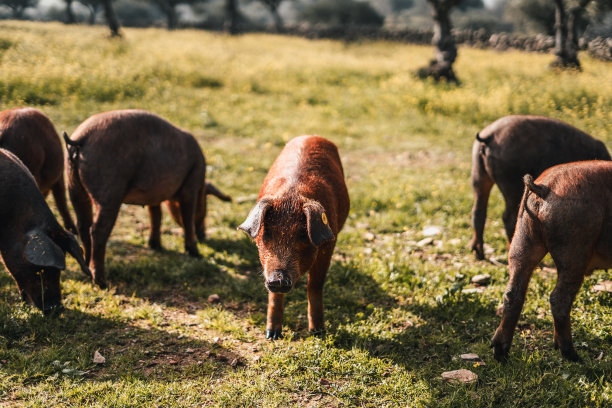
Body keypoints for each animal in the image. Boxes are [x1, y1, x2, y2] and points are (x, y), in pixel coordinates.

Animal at [64, 108, 232, 286]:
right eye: (205, 205)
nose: (204, 236)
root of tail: (82, 138)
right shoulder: (191, 186)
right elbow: (187, 218)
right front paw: (195, 253)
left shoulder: (154, 194)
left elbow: (156, 215)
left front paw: (155, 246)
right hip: (108, 190)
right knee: (97, 230)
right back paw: (101, 282)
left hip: (74, 186)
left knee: (82, 225)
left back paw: (87, 271)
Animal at [241, 135, 352, 340]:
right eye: (266, 234)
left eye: (303, 235)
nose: (278, 278)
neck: (291, 196)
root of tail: (311, 135)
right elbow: (274, 296)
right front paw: (272, 336)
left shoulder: (329, 244)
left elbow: (315, 286)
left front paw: (318, 333)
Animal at [470, 115, 608, 258]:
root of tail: (489, 135)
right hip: (511, 183)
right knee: (508, 217)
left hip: (478, 174)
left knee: (478, 211)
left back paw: (478, 254)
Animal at [492, 161, 612, 362]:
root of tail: (545, 187)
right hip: (574, 247)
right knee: (558, 299)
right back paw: (572, 355)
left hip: (523, 237)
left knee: (512, 293)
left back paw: (501, 354)